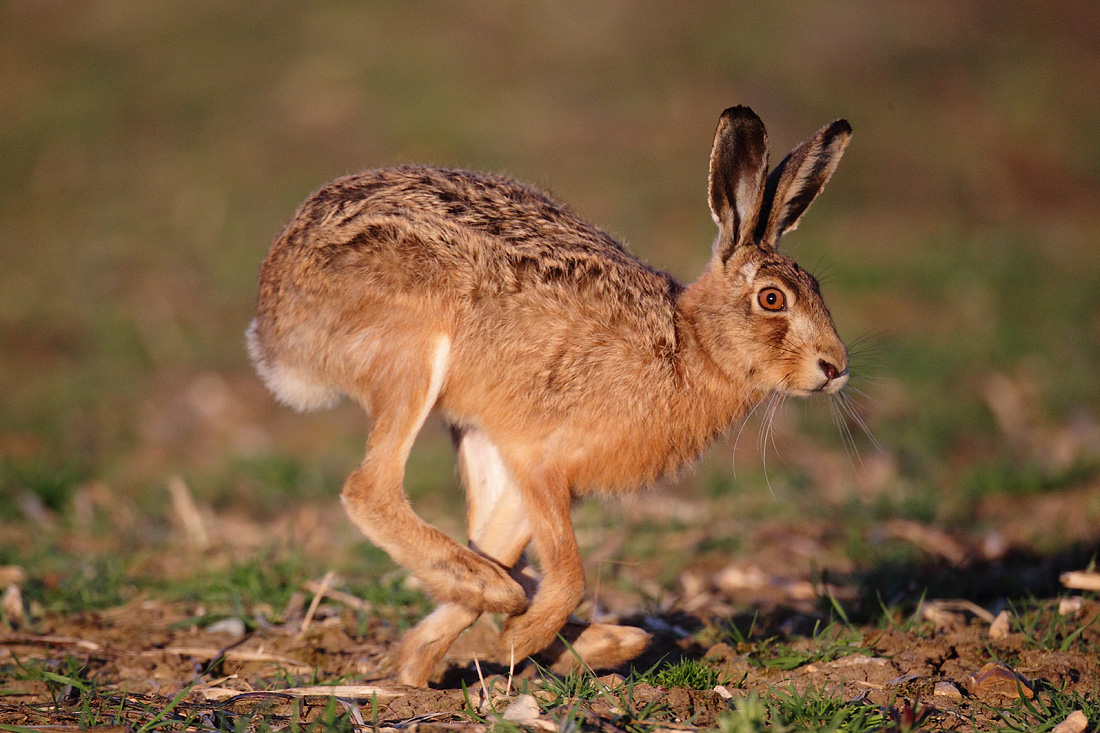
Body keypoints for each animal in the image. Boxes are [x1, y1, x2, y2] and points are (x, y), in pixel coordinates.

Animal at [247, 106, 852, 686]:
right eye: (772, 299)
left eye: (820, 291)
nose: (835, 368)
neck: (693, 344)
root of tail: (276, 306)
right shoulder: (541, 460)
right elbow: (570, 574)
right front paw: (515, 637)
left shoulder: (533, 468)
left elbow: (510, 544)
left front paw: (430, 654)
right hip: (414, 355)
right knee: (369, 490)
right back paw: (499, 596)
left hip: (468, 421)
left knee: (475, 530)